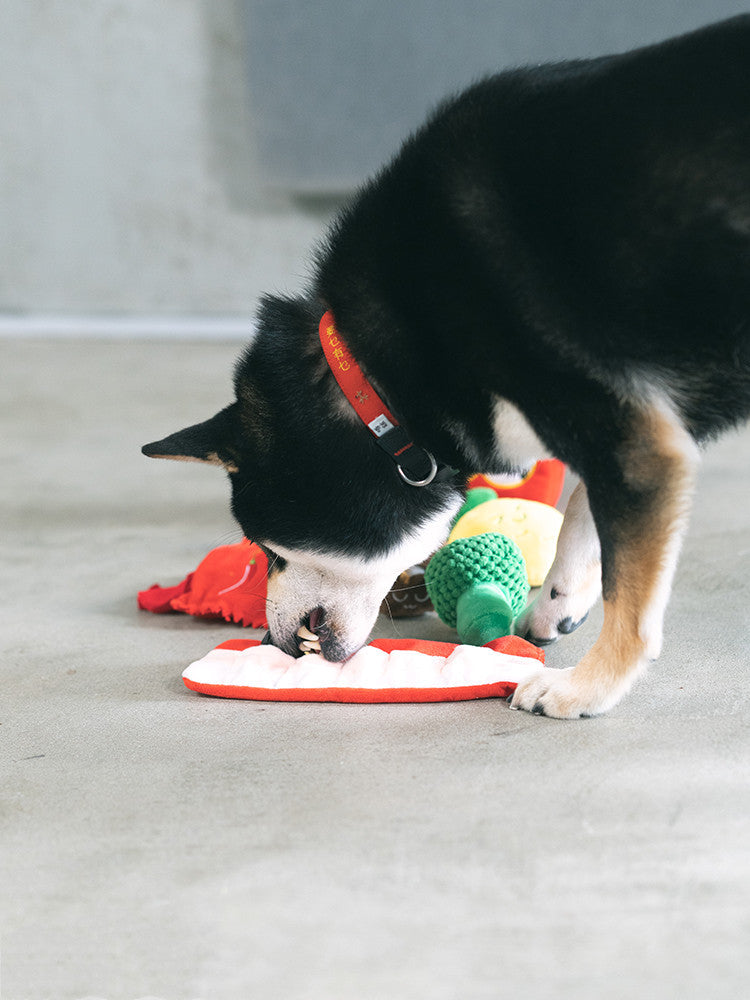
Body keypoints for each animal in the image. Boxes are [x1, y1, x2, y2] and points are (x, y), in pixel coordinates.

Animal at [145, 17, 750, 720]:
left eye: (264, 545)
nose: (276, 644)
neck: (378, 380)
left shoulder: (630, 436)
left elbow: (631, 592)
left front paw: (587, 687)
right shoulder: (646, 424)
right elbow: (585, 509)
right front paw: (562, 598)